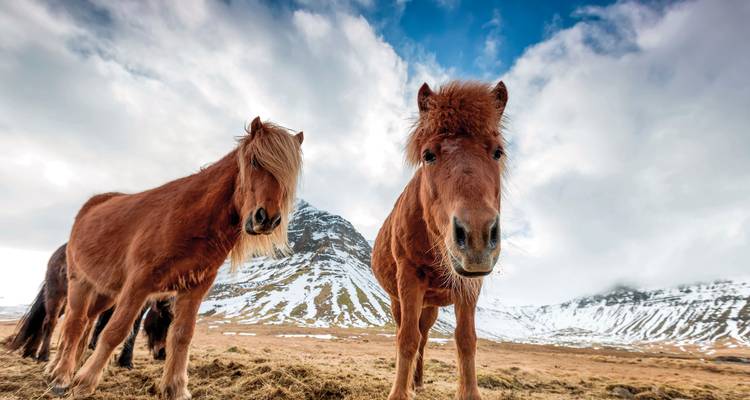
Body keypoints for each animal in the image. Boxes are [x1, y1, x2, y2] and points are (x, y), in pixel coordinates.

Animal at [45, 116, 303, 399]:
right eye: (255, 161)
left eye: (289, 177)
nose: (267, 218)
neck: (191, 219)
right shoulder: (138, 284)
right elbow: (116, 331)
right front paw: (85, 382)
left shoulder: (195, 287)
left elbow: (181, 335)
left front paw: (176, 388)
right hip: (80, 282)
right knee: (75, 324)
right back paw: (61, 376)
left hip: (105, 292)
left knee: (84, 324)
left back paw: (59, 369)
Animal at [372, 80, 508, 400]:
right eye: (428, 155)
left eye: (498, 152)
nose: (476, 235)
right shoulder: (409, 276)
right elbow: (406, 339)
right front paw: (399, 393)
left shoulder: (470, 284)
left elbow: (466, 339)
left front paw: (469, 393)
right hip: (399, 301)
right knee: (411, 334)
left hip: (431, 307)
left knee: (424, 337)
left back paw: (418, 381)